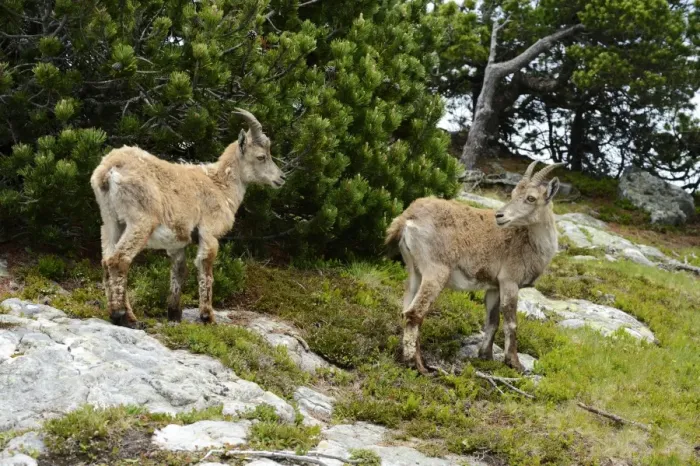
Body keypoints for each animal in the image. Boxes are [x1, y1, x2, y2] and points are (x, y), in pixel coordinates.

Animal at [90, 109, 285, 328]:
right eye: (261, 156)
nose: (281, 178)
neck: (220, 185)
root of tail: (108, 172)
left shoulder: (178, 242)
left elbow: (179, 271)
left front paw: (174, 314)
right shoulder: (209, 233)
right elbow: (205, 269)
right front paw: (207, 316)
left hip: (110, 222)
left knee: (106, 261)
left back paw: (117, 312)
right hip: (140, 221)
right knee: (119, 260)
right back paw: (124, 316)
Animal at [385, 161, 564, 373]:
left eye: (531, 198)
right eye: (513, 194)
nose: (499, 215)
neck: (529, 242)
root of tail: (407, 218)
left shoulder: (494, 286)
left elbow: (492, 321)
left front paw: (485, 356)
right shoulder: (509, 281)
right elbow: (511, 323)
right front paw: (514, 363)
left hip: (414, 271)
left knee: (406, 310)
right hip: (436, 270)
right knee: (415, 313)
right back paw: (418, 366)